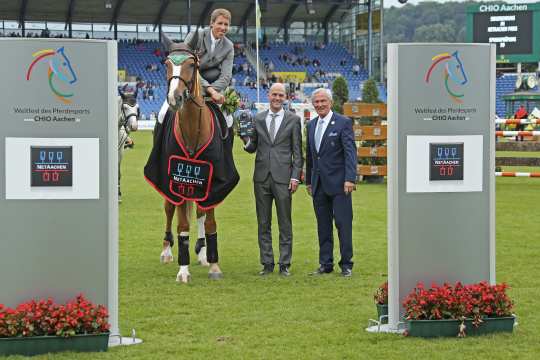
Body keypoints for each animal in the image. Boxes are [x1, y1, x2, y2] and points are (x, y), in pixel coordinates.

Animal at [143, 38, 238, 282]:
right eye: (166, 64)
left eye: (192, 64)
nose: (174, 98)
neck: (193, 128)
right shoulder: (175, 177)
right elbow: (182, 223)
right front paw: (183, 270)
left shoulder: (214, 180)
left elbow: (209, 220)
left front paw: (213, 264)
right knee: (169, 209)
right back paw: (167, 250)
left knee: (200, 212)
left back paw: (202, 252)